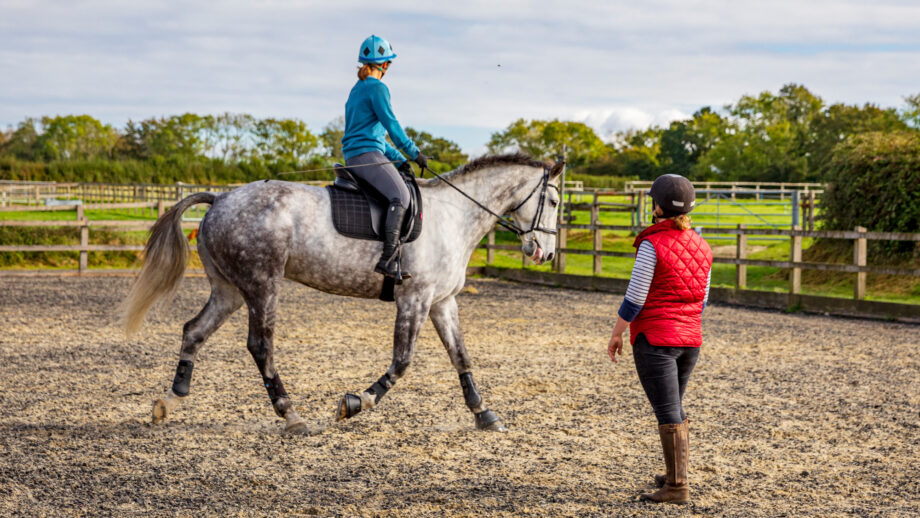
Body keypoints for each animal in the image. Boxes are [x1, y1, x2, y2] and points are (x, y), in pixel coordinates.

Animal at [122, 153, 564, 434]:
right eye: (556, 200)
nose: (545, 253)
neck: (455, 215)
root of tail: (220, 197)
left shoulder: (442, 302)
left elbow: (461, 356)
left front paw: (484, 414)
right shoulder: (415, 299)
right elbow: (402, 362)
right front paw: (354, 404)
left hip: (229, 291)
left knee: (194, 330)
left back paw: (170, 401)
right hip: (263, 286)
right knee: (260, 346)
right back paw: (292, 416)